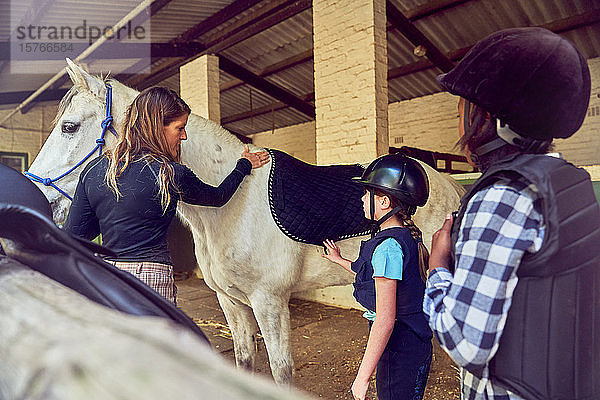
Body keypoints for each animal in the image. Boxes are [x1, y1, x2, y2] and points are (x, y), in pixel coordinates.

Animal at [28, 58, 464, 384]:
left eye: (69, 127)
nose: (40, 198)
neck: (231, 208)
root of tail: (449, 188)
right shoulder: (231, 302)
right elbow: (244, 361)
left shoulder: (269, 302)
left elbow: (282, 371)